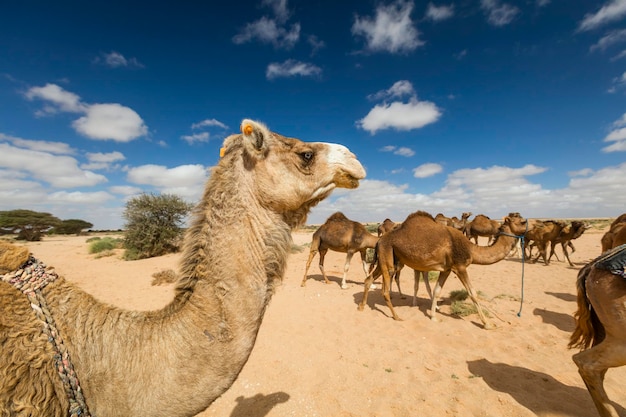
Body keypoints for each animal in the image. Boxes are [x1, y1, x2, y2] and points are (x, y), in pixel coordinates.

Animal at [360, 211, 528, 328]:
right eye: (522, 221)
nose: (530, 227)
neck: (471, 249)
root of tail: (379, 240)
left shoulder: (446, 269)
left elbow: (436, 291)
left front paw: (434, 316)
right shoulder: (460, 267)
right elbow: (472, 293)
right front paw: (488, 324)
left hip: (387, 258)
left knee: (368, 279)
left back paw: (361, 307)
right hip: (387, 255)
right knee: (385, 289)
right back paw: (396, 316)